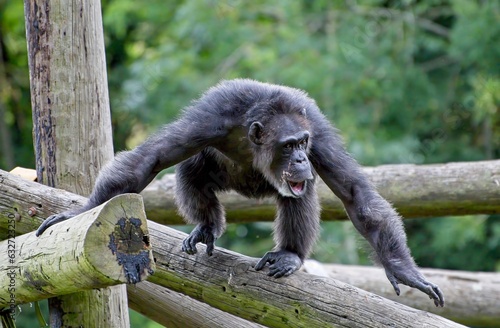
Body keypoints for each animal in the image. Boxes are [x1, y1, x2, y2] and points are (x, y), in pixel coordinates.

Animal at [38, 79, 446, 308]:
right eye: (289, 145)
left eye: (303, 142)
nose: (301, 157)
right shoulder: (209, 118)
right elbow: (149, 159)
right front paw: (79, 212)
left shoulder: (316, 128)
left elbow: (355, 192)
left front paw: (405, 271)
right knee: (190, 168)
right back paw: (207, 227)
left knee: (298, 194)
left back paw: (290, 255)